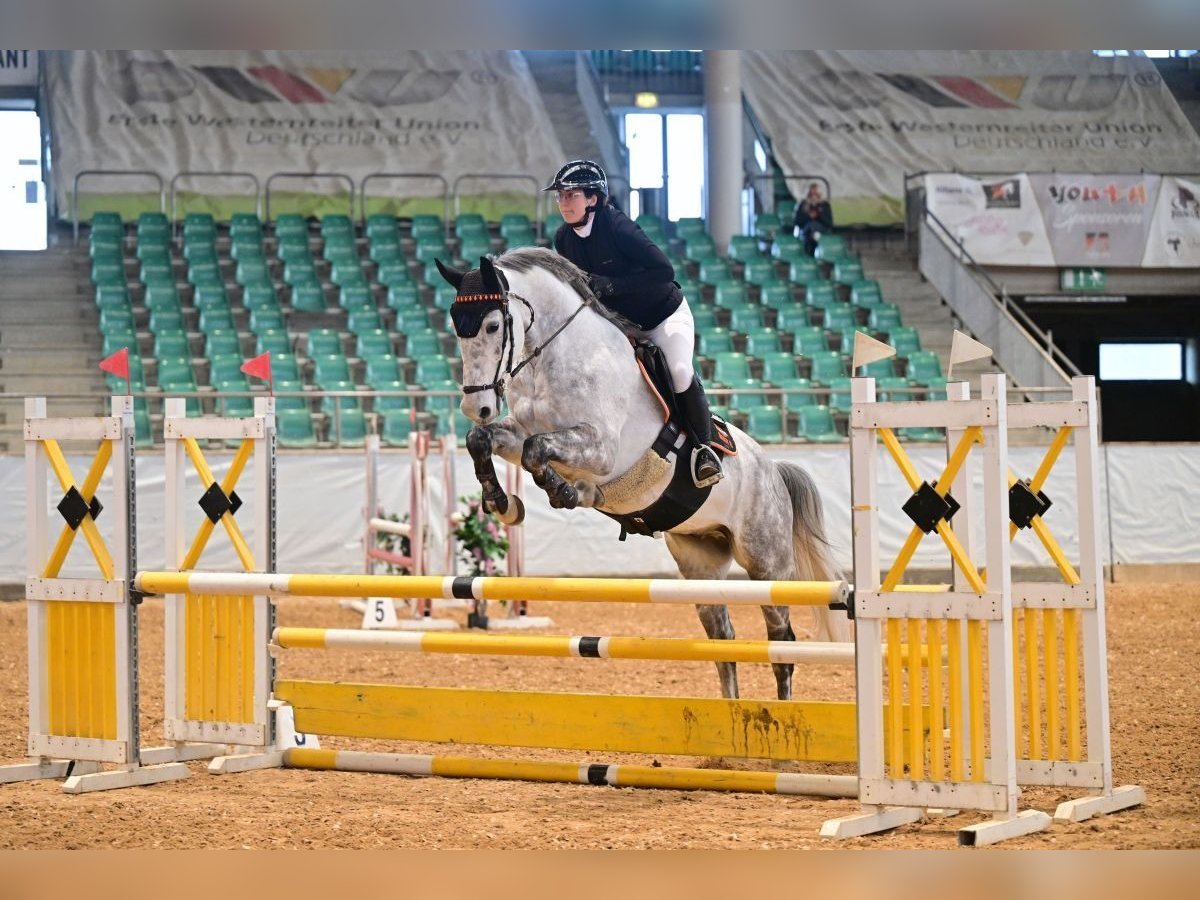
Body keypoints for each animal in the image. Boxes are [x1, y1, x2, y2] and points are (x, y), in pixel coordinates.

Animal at [436, 250, 849, 700]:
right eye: (457, 326)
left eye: (493, 325)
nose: (476, 407)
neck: (556, 358)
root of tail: (773, 471)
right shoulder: (519, 432)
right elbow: (483, 440)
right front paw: (502, 503)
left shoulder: (602, 449)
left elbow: (537, 452)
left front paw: (566, 491)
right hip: (700, 563)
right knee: (723, 640)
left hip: (765, 563)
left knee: (781, 643)